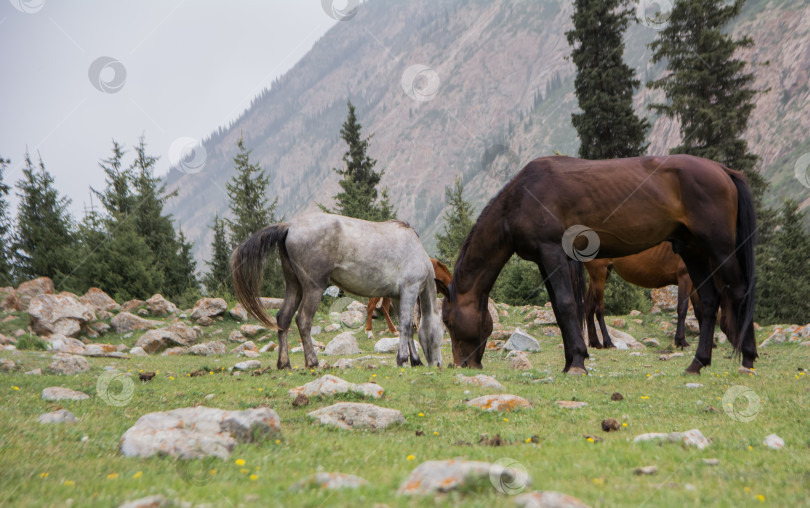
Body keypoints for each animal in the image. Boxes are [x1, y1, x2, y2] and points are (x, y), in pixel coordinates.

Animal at [230, 212, 442, 368]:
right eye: (442, 332)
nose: (438, 363)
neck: (416, 250)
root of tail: (289, 226)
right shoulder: (409, 290)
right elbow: (406, 325)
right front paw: (403, 359)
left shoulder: (397, 297)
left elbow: (407, 328)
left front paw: (415, 360)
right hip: (313, 288)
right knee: (303, 320)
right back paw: (312, 361)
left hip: (294, 286)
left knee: (283, 318)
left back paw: (284, 363)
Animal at [436, 157, 756, 376]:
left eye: (447, 321)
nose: (461, 364)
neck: (520, 199)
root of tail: (724, 171)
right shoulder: (547, 260)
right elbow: (563, 308)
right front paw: (571, 360)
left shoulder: (552, 253)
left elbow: (567, 305)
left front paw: (578, 361)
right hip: (693, 251)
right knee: (710, 301)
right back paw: (697, 363)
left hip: (719, 248)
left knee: (740, 292)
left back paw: (748, 357)